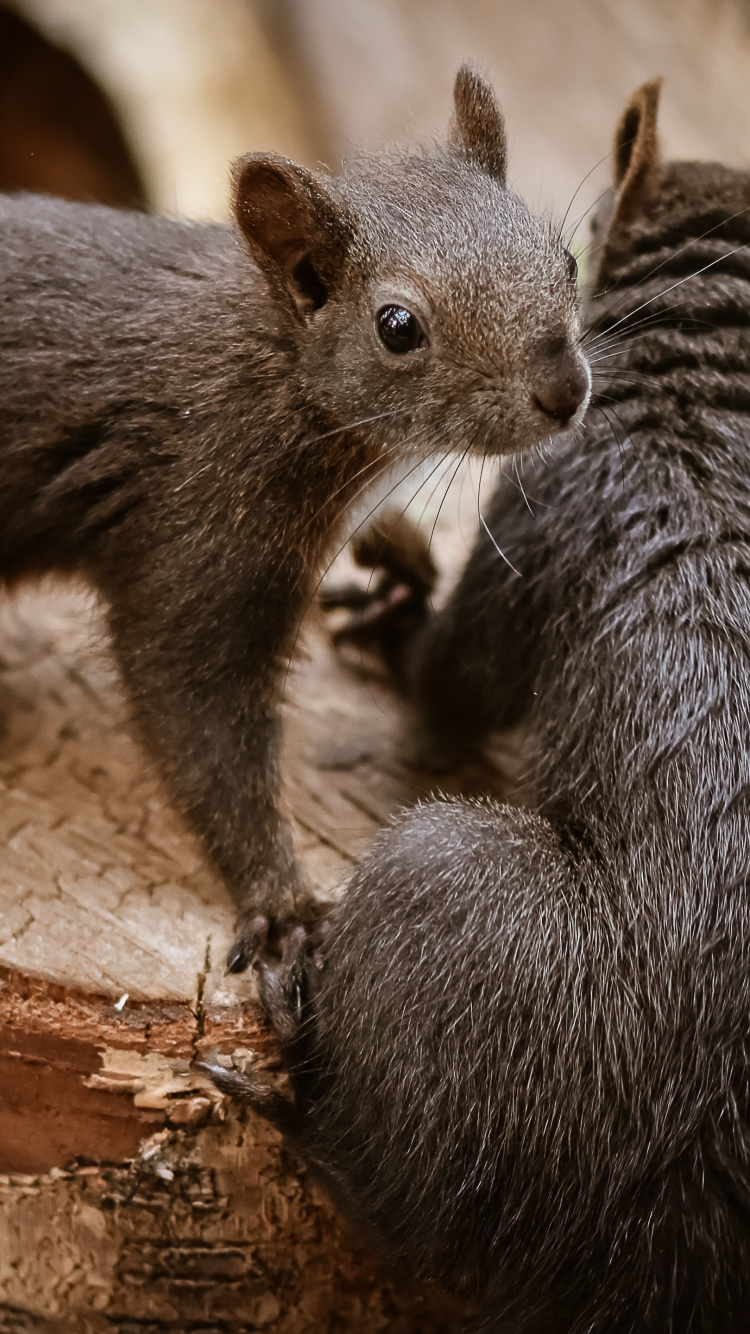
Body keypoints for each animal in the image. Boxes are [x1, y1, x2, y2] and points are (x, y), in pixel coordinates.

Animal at [0, 66, 589, 972]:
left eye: (565, 258)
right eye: (397, 327)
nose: (567, 390)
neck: (276, 365)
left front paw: (399, 568)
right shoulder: (202, 510)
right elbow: (195, 708)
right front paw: (282, 905)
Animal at [205, 82, 750, 1332]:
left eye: (573, 253)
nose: (559, 379)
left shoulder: (559, 494)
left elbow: (455, 677)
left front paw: (401, 615)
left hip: (444, 893)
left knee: (401, 1199)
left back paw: (301, 1088)